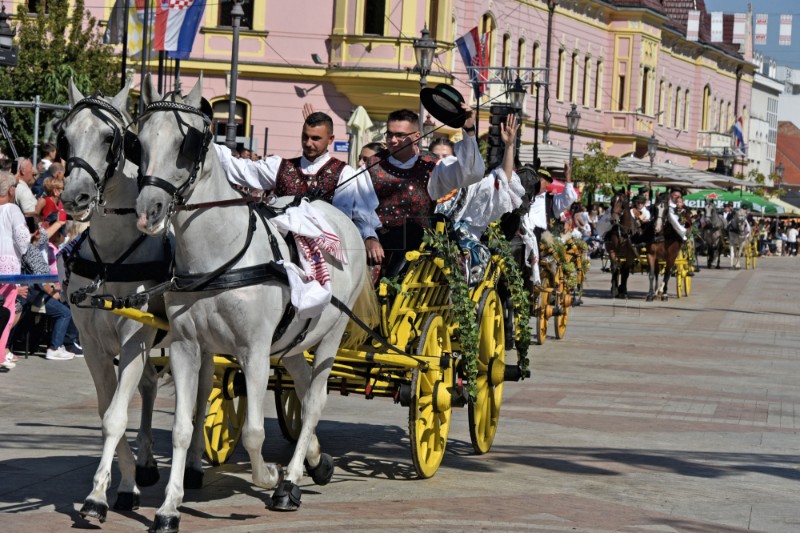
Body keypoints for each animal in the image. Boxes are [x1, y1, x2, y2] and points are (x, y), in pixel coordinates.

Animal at [59, 81, 208, 520]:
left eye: (111, 139)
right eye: (65, 136)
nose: (75, 196)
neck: (112, 256)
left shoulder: (133, 339)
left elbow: (114, 417)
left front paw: (96, 496)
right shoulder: (93, 345)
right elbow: (109, 412)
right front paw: (124, 484)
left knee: (203, 394)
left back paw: (194, 465)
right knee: (149, 387)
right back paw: (145, 464)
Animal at [135, 76, 376, 532]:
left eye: (186, 143)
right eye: (137, 142)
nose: (148, 211)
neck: (220, 256)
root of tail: (339, 216)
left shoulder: (255, 351)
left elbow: (251, 433)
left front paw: (269, 476)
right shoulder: (185, 347)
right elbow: (182, 428)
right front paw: (169, 509)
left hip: (331, 335)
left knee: (314, 401)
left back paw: (291, 481)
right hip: (296, 338)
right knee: (302, 383)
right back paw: (316, 460)